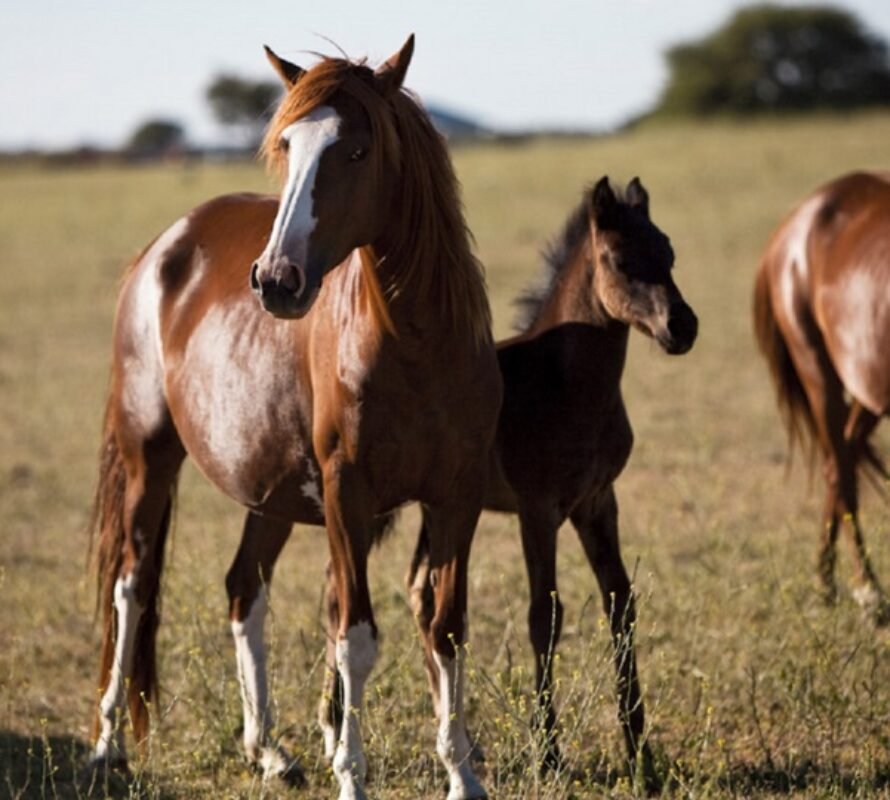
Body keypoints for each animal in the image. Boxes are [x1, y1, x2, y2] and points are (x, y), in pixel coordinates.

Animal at [88, 39, 500, 800]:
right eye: (287, 145)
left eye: (358, 150)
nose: (276, 280)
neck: (416, 347)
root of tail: (162, 248)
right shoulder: (347, 495)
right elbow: (354, 636)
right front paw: (353, 776)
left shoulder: (456, 499)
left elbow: (446, 628)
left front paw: (461, 775)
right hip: (148, 457)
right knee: (130, 587)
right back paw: (106, 746)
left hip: (269, 492)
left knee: (243, 590)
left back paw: (268, 749)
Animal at [320, 175, 692, 780]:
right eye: (620, 259)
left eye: (668, 252)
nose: (682, 326)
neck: (567, 383)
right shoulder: (538, 510)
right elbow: (545, 615)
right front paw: (549, 753)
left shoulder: (597, 502)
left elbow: (621, 604)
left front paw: (642, 753)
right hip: (372, 504)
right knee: (338, 595)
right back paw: (335, 732)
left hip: (432, 507)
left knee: (419, 591)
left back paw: (457, 738)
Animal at [752, 170, 888, 624]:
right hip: (817, 368)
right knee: (840, 467)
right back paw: (865, 590)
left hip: (867, 384)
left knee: (842, 456)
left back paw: (827, 582)